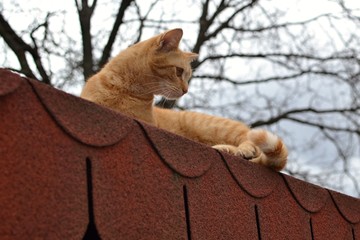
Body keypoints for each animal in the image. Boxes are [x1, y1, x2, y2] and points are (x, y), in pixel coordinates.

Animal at [81, 28, 286, 171]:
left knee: (251, 143)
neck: (125, 91)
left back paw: (237, 150)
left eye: (187, 76)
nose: (186, 90)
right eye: (179, 71)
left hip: (218, 128)